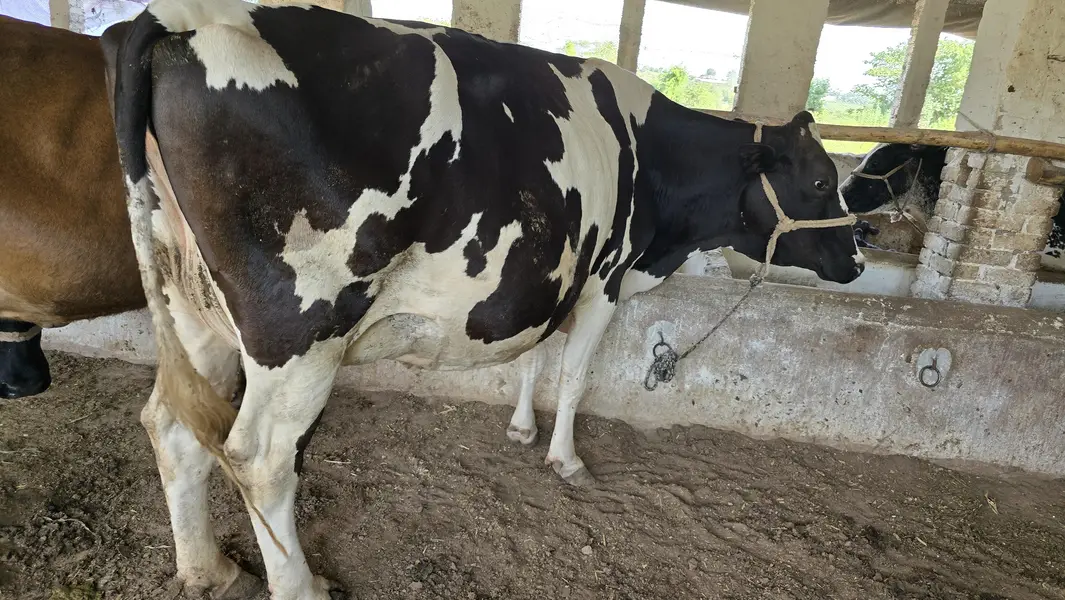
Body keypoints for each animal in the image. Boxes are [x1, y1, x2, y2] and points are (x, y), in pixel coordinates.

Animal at [102, 0, 864, 596]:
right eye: (822, 182)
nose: (857, 257)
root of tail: (176, 17)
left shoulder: (547, 273)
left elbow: (531, 355)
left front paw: (522, 429)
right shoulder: (604, 279)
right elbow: (574, 372)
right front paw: (566, 459)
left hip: (190, 307)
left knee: (170, 426)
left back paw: (207, 569)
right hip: (299, 331)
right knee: (262, 461)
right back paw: (302, 586)